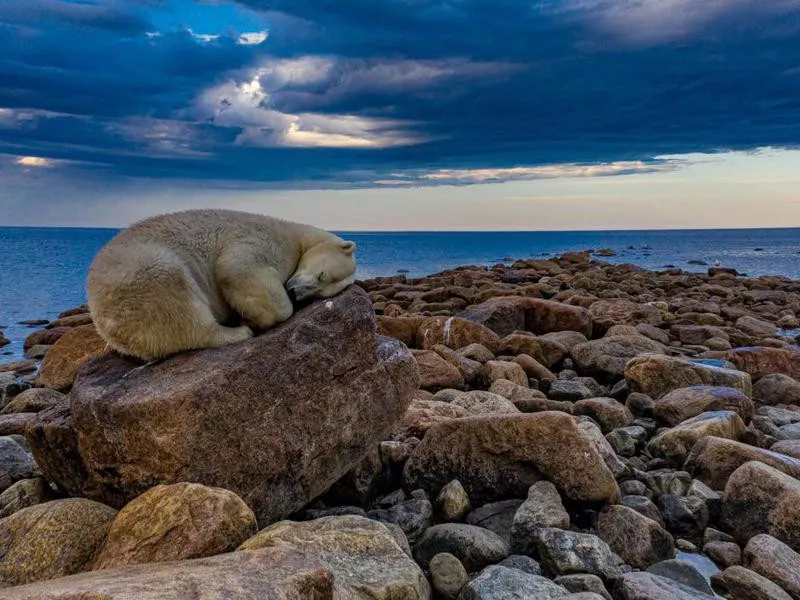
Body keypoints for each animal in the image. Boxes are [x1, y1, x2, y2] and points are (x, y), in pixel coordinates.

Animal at [86, 209, 356, 360]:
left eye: (320, 293)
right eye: (322, 275)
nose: (295, 292)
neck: (294, 233)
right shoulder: (263, 239)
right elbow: (235, 268)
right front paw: (255, 318)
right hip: (142, 274)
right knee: (180, 306)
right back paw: (238, 331)